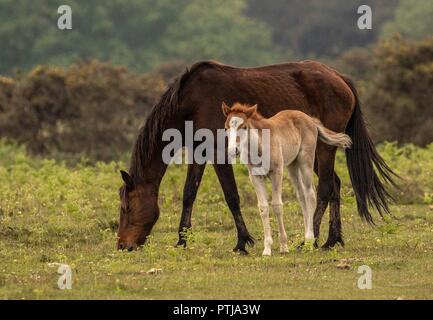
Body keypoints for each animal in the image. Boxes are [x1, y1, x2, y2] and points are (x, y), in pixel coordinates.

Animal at [223, 104, 352, 256]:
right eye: (226, 127)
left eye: (243, 127)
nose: (233, 150)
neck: (260, 146)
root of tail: (309, 119)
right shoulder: (255, 177)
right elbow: (263, 207)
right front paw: (267, 249)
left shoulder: (277, 173)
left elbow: (277, 205)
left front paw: (284, 246)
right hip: (293, 166)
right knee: (301, 196)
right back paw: (305, 237)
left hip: (306, 162)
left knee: (310, 194)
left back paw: (309, 239)